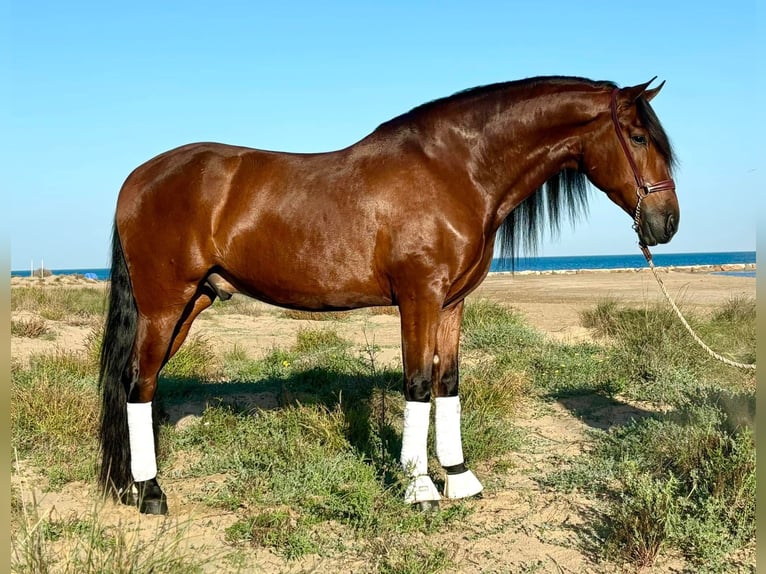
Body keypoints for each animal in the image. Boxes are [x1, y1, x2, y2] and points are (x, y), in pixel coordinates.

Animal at [99, 74, 680, 516]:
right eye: (638, 137)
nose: (667, 222)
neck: (455, 170)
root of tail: (137, 179)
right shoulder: (419, 298)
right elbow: (418, 384)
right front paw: (420, 489)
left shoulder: (452, 303)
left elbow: (447, 383)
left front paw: (459, 478)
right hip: (164, 304)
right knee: (139, 383)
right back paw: (151, 493)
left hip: (193, 301)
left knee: (135, 382)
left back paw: (128, 483)